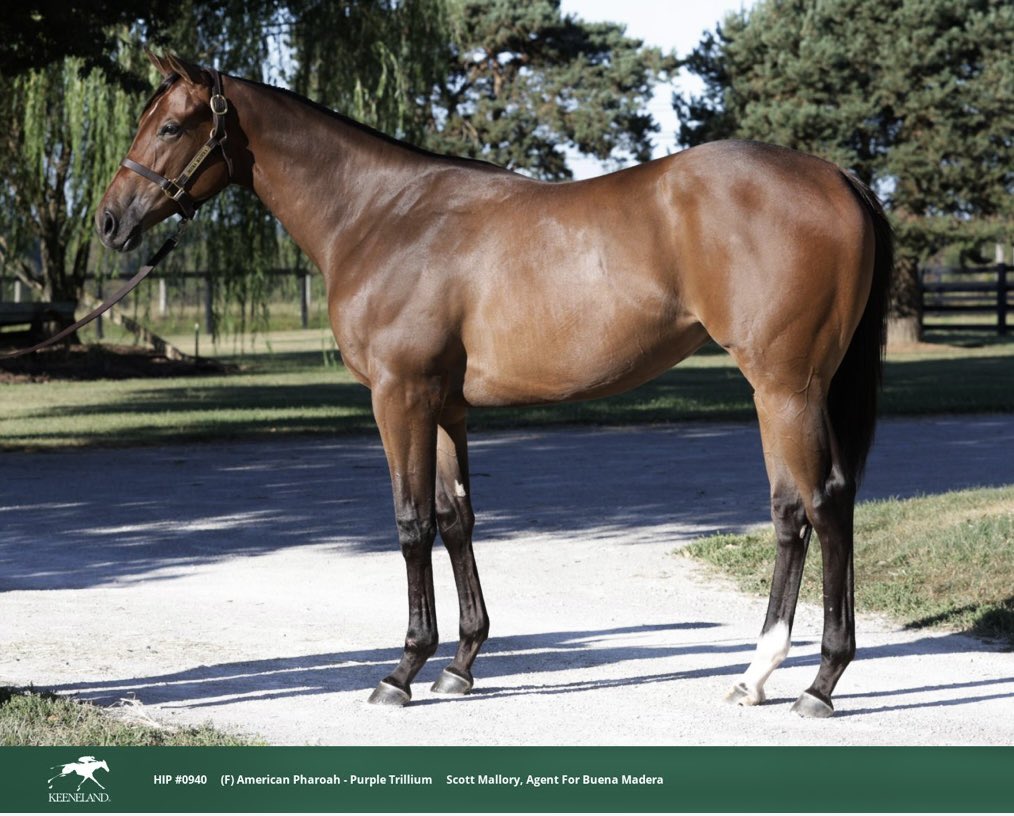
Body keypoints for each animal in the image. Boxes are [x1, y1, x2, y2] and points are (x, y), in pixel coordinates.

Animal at [96, 52, 892, 718]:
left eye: (170, 125)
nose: (109, 221)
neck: (382, 216)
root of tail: (838, 177)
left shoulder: (399, 397)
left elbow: (412, 522)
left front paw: (402, 671)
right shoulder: (444, 405)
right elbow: (457, 519)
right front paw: (461, 664)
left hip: (786, 387)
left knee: (822, 507)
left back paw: (819, 683)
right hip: (784, 391)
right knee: (794, 511)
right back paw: (757, 676)